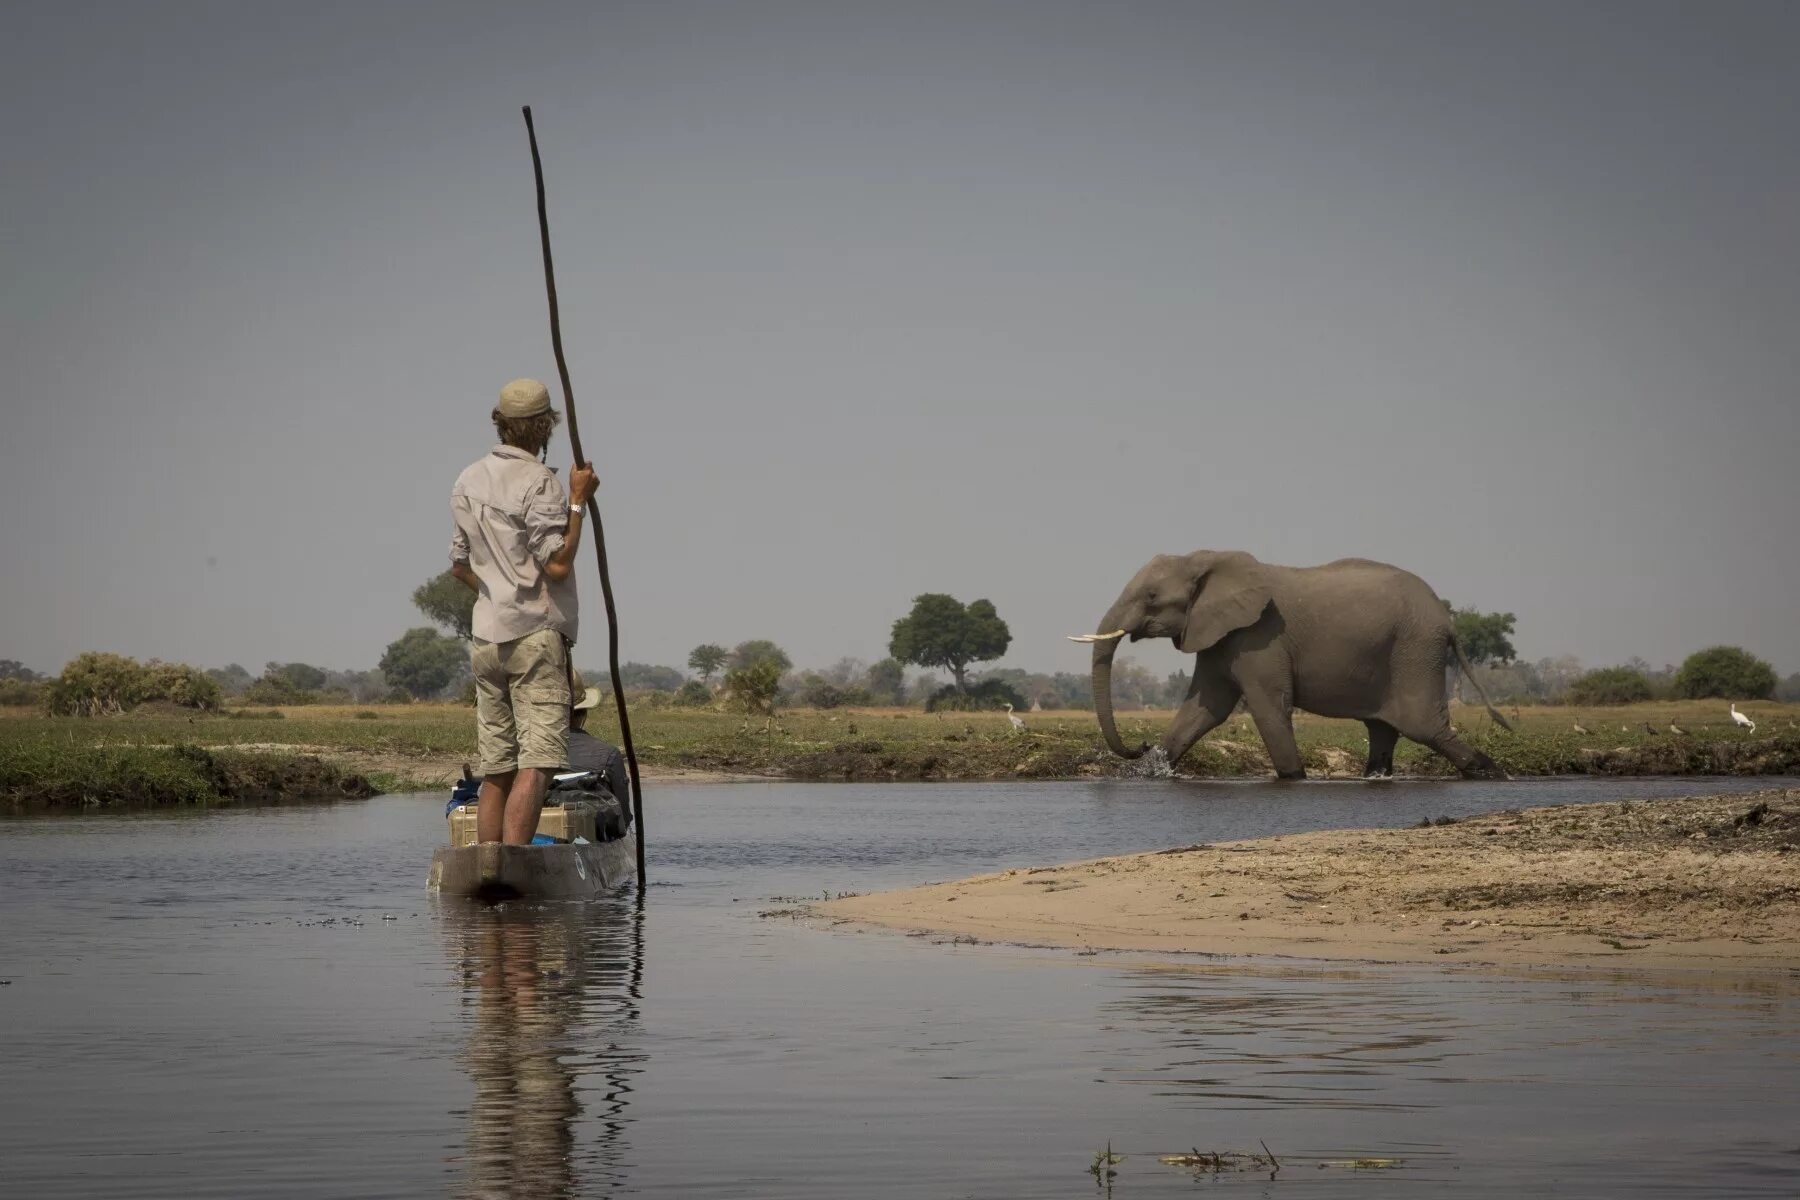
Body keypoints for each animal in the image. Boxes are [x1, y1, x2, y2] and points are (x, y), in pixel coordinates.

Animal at [1072, 550, 1512, 780]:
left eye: (1151, 597)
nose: (1141, 745)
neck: (1204, 559)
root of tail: (1448, 620)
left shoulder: (1260, 636)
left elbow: (1268, 707)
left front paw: (1294, 778)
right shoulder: (1220, 635)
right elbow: (1204, 708)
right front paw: (1153, 772)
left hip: (1416, 650)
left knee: (1423, 726)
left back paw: (1490, 773)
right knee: (1382, 727)